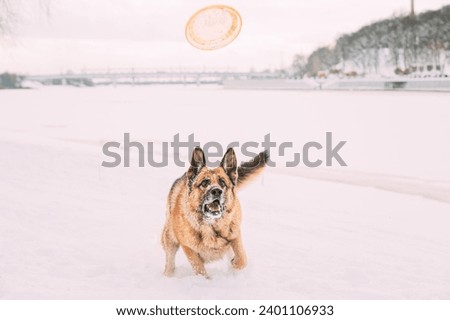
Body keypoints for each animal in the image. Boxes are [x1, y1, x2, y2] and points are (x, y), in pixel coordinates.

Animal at [162, 148, 268, 278]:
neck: (211, 226)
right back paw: (168, 275)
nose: (217, 191)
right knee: (170, 261)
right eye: (204, 183)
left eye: (222, 182)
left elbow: (241, 258)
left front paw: (235, 265)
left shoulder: (235, 234)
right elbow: (199, 269)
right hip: (169, 238)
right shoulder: (188, 247)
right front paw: (205, 281)